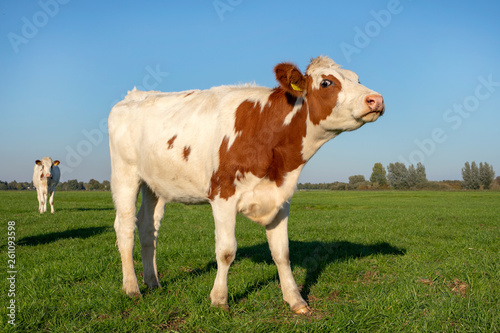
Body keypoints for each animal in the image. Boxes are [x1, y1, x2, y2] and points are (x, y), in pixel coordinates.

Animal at [107, 55, 384, 312]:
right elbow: (226, 251)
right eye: (327, 82)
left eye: (357, 78)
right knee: (125, 227)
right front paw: (219, 300)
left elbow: (282, 253)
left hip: (154, 184)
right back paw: (131, 288)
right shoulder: (222, 194)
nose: (376, 99)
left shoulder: (281, 199)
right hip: (125, 174)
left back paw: (153, 282)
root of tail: (134, 95)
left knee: (148, 227)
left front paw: (295, 299)